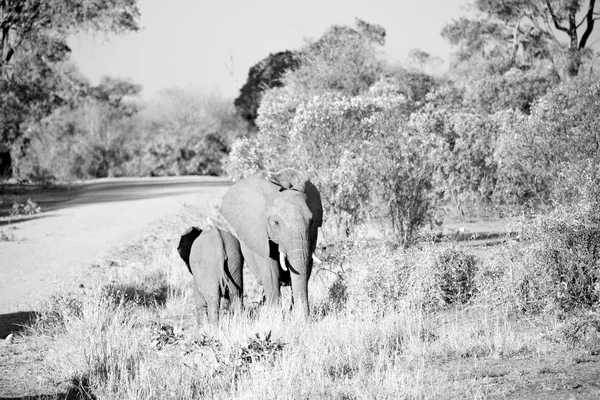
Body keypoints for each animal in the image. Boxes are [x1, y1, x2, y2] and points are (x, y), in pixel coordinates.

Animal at [220, 175, 324, 318]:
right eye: (276, 223)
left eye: (312, 221)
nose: (306, 319)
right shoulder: (260, 234)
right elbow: (270, 270)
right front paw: (275, 317)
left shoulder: (312, 234)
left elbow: (306, 268)